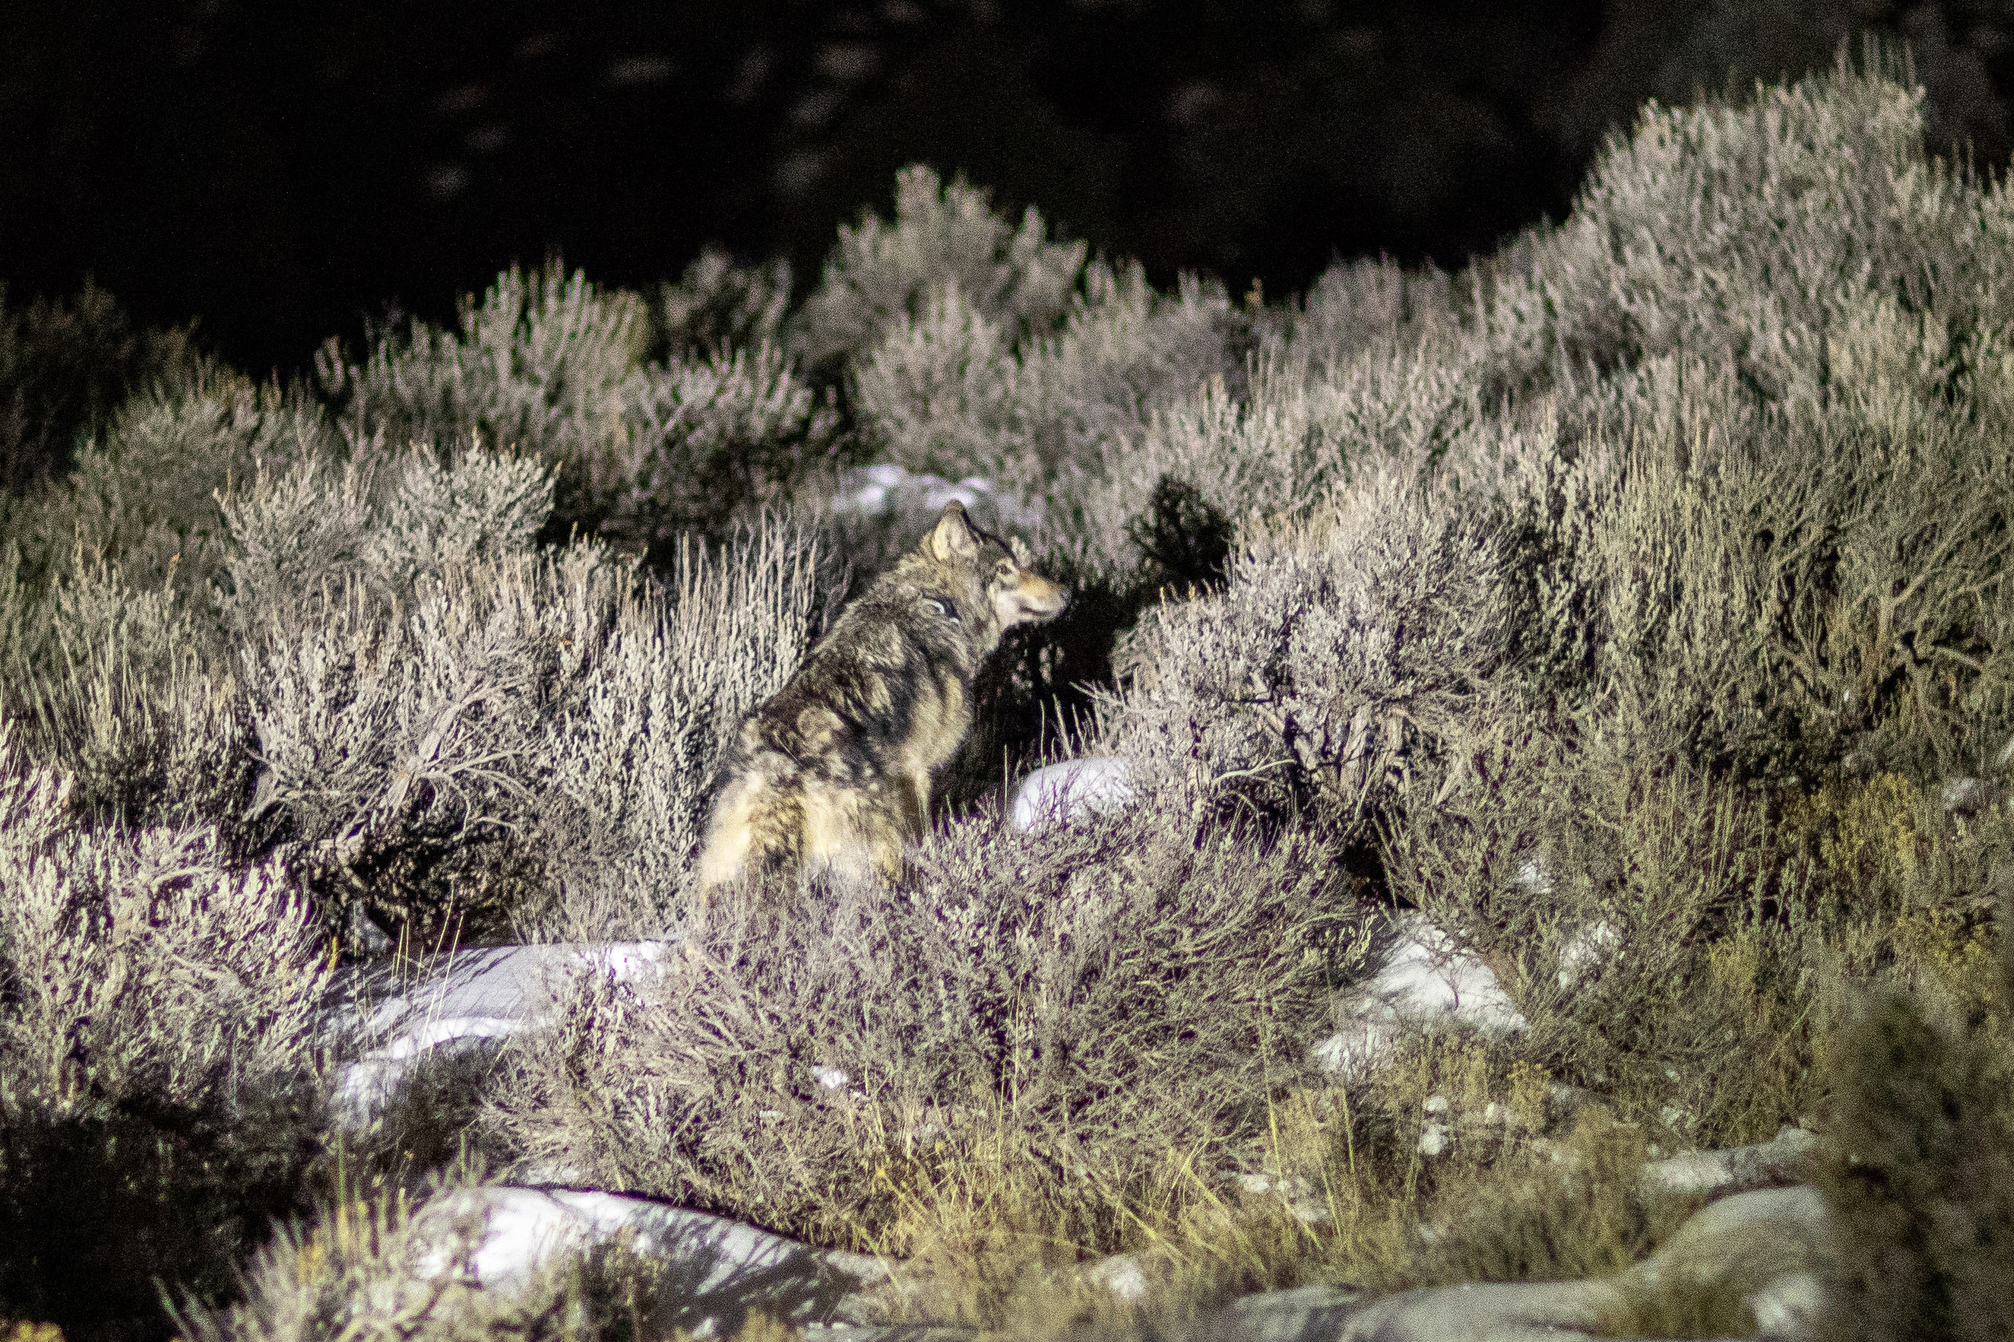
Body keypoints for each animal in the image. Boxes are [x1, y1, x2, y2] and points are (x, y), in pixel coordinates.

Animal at [697, 501, 1068, 894]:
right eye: (1006, 570)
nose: (1068, 594)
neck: (935, 605)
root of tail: (778, 769)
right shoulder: (919, 771)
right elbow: (925, 836)